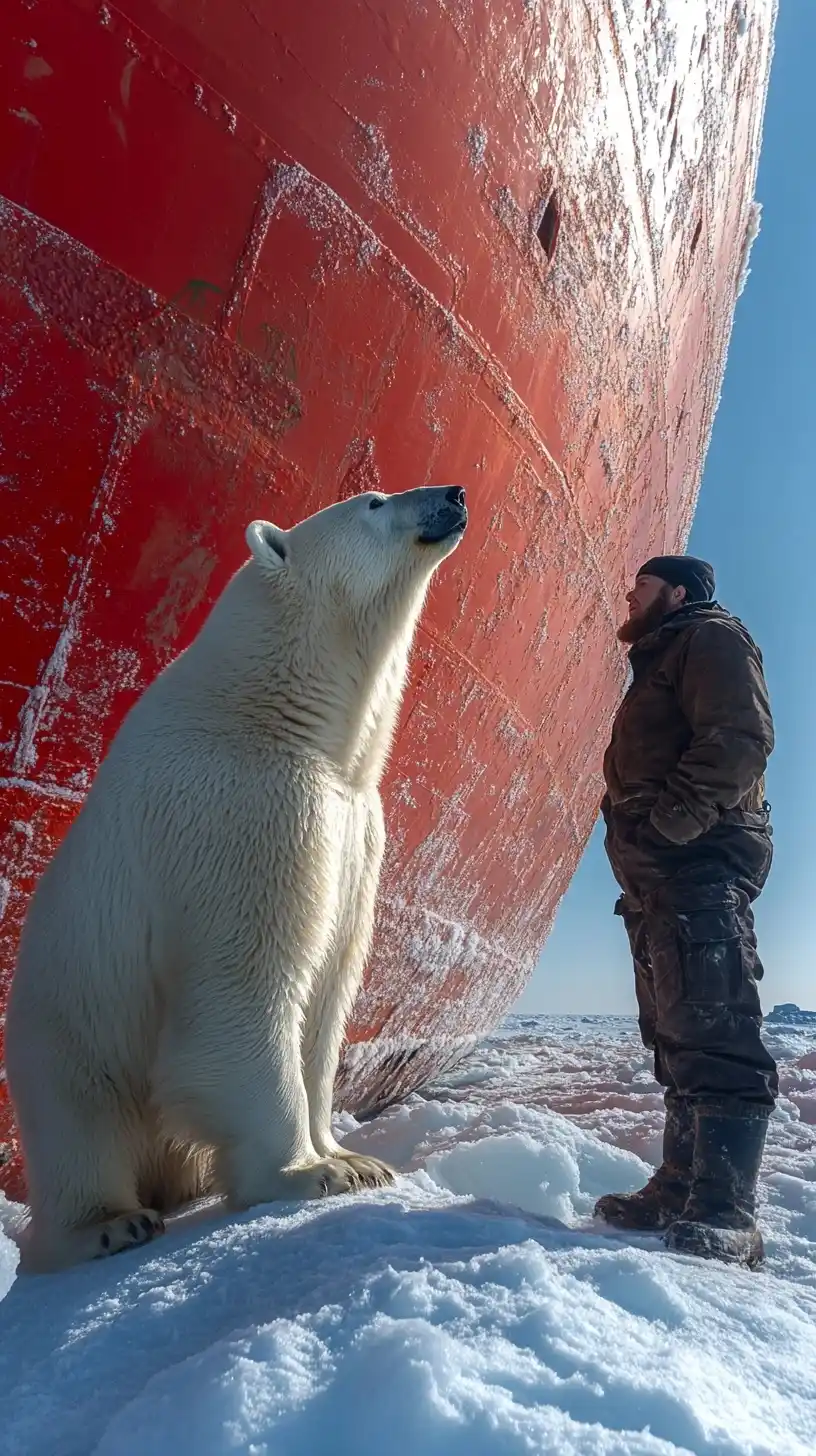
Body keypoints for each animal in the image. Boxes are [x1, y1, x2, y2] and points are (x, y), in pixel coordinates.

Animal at [4, 483, 468, 1272]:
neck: (274, 710)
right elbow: (243, 988)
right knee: (80, 1129)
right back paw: (107, 1225)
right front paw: (306, 1172)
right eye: (376, 502)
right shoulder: (246, 809)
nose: (454, 493)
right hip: (65, 1032)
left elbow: (327, 998)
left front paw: (353, 1156)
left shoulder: (355, 827)